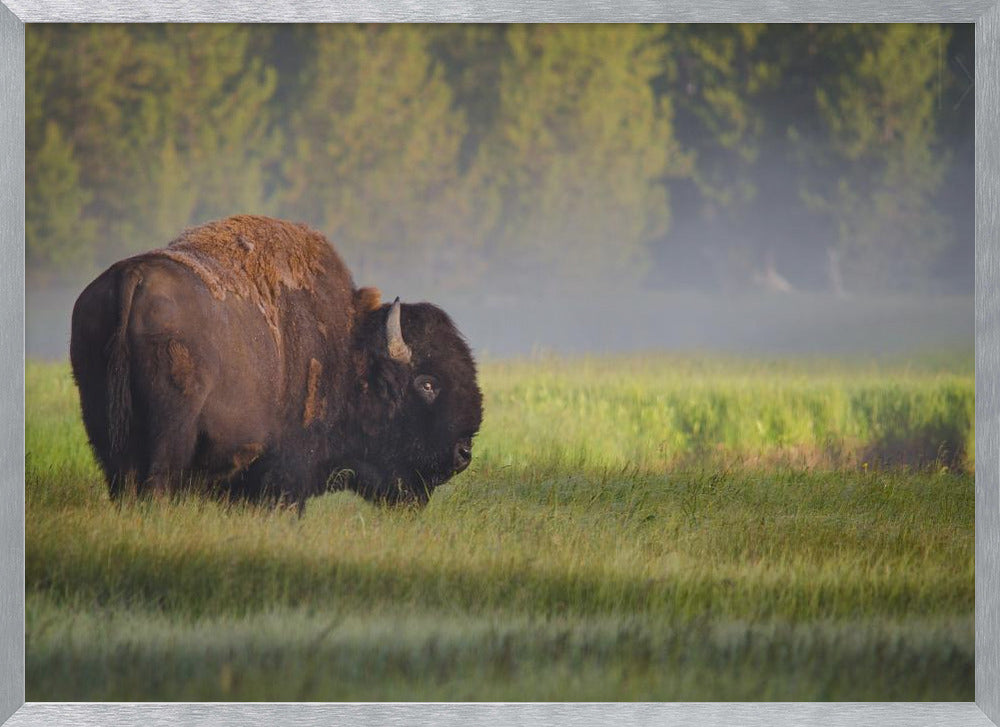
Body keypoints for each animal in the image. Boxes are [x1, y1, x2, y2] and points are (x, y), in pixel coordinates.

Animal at [70, 215, 483, 508]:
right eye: (427, 383)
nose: (463, 453)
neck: (347, 347)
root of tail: (133, 276)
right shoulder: (287, 470)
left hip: (104, 425)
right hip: (170, 432)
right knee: (156, 484)